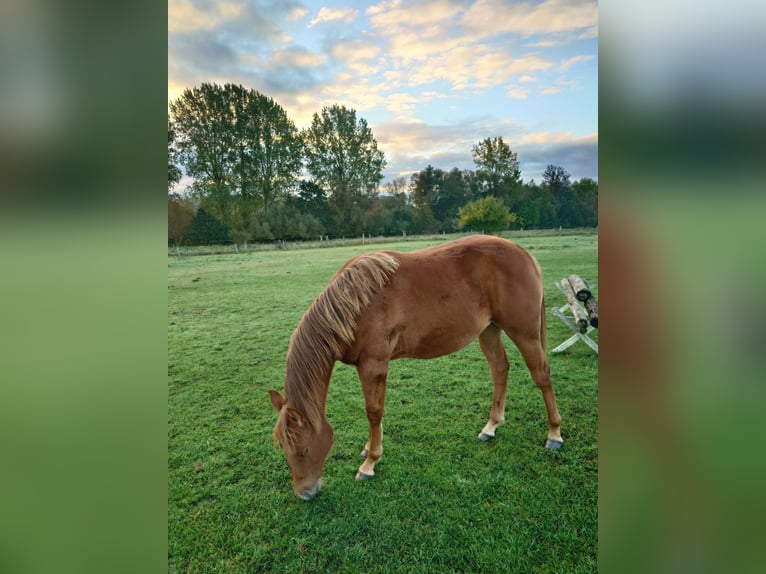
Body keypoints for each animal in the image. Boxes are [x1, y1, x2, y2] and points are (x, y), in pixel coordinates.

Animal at [269, 234, 563, 500]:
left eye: (303, 451)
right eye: (283, 448)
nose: (305, 493)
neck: (354, 304)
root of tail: (523, 253)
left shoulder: (373, 365)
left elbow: (373, 412)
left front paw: (370, 463)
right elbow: (373, 414)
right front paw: (369, 448)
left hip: (525, 334)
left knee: (541, 375)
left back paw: (554, 433)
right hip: (489, 331)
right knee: (500, 369)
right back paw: (491, 426)